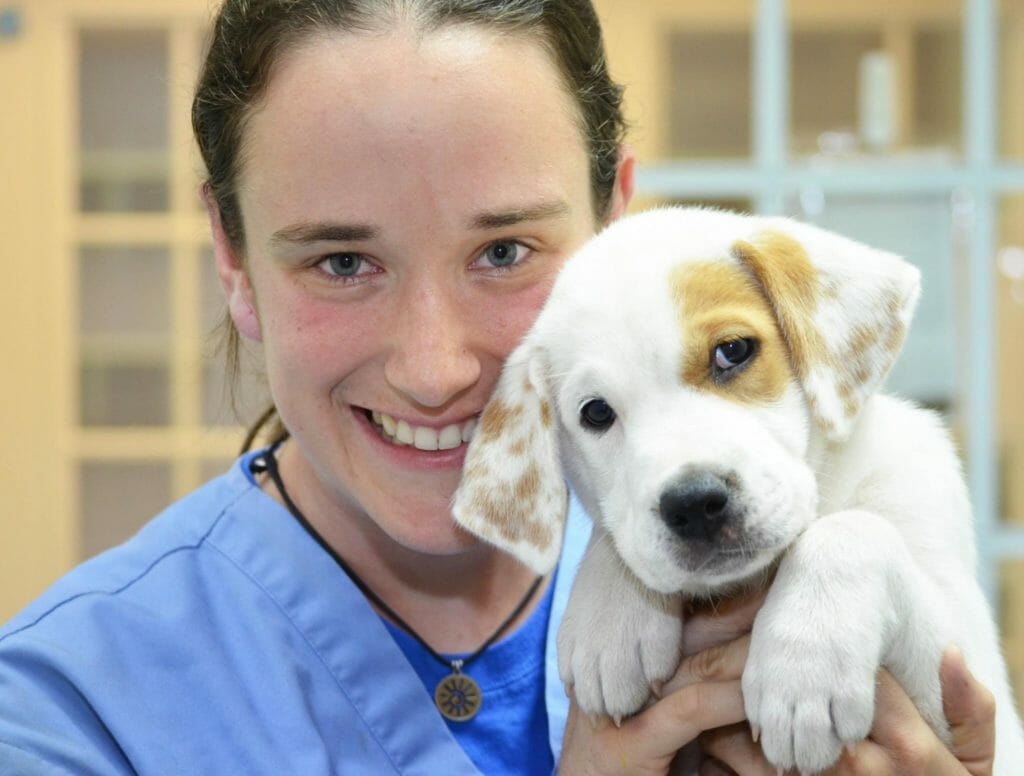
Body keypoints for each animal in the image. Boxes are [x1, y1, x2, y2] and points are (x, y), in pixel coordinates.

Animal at [454, 207, 1024, 776]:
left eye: (733, 351)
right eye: (596, 413)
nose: (694, 505)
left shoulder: (969, 680)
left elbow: (852, 529)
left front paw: (804, 666)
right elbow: (620, 538)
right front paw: (610, 614)